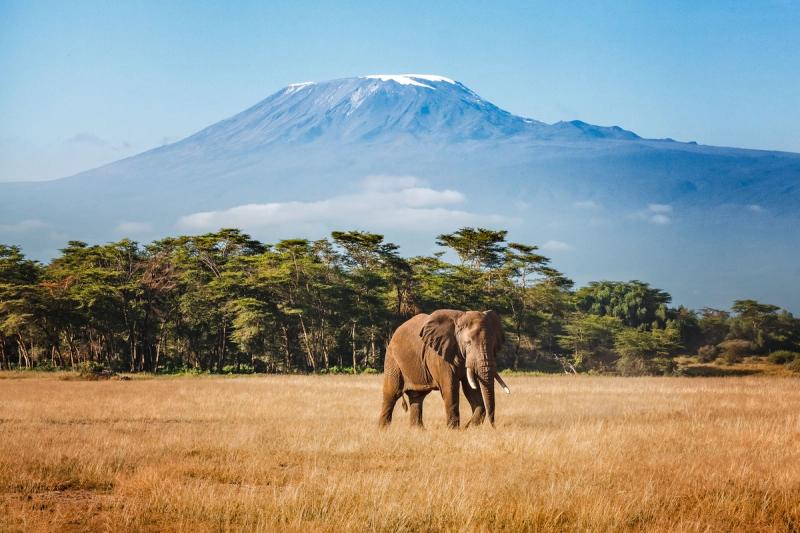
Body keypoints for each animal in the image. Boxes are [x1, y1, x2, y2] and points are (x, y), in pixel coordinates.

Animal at [378, 309, 511, 429]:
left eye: (493, 345)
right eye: (468, 343)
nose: (494, 427)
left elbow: (471, 389)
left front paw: (467, 428)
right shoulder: (439, 355)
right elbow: (450, 387)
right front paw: (453, 430)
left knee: (417, 397)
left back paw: (418, 431)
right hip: (392, 360)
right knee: (391, 394)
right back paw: (383, 430)